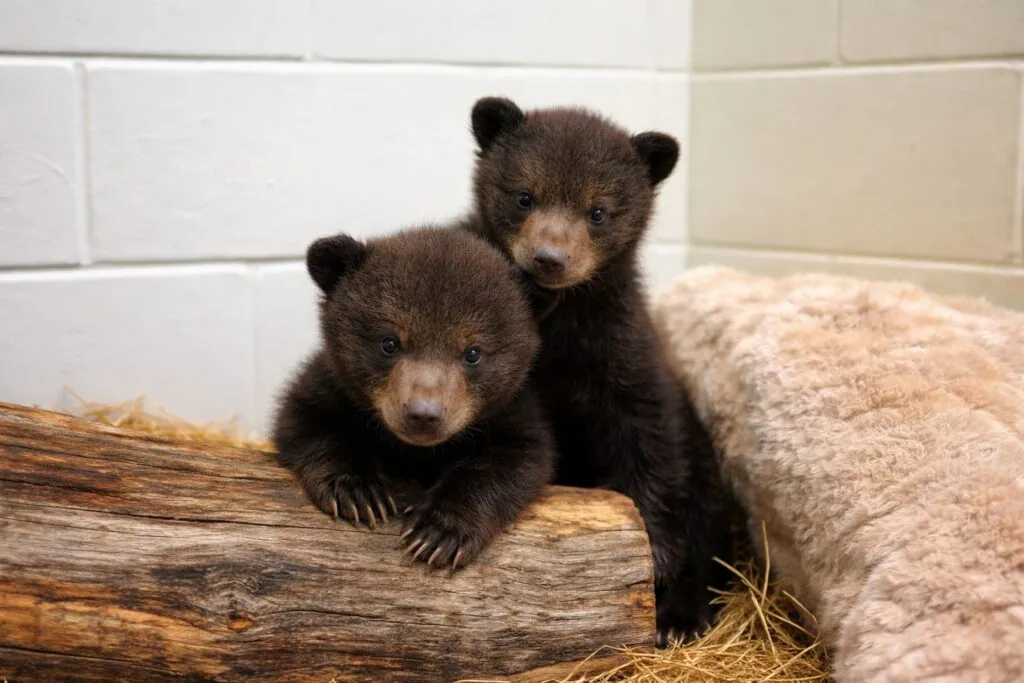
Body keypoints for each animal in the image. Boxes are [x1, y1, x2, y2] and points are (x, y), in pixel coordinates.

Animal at [272, 225, 556, 569]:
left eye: (473, 353)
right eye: (389, 342)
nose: (423, 414)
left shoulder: (511, 412)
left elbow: (518, 459)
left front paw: (438, 531)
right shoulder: (331, 386)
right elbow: (305, 419)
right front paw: (358, 491)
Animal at [466, 97, 734, 645]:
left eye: (598, 211)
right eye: (524, 196)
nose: (549, 257)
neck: (560, 318)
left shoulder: (622, 349)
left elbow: (646, 436)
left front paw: (655, 553)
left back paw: (680, 617)